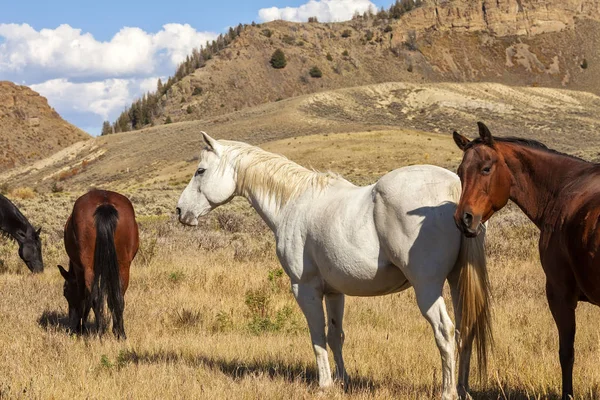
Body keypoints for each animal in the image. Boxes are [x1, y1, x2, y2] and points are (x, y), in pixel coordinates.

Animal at [57, 189, 139, 340]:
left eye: (65, 291)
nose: (71, 325)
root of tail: (105, 204)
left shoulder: (79, 269)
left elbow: (84, 297)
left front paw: (81, 328)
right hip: (123, 266)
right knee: (118, 298)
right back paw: (120, 333)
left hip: (89, 268)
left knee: (95, 298)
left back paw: (99, 333)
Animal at [176, 132, 490, 400]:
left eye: (200, 171)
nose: (180, 211)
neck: (293, 201)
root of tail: (455, 189)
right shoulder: (335, 292)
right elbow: (336, 336)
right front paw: (343, 380)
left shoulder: (304, 289)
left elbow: (317, 335)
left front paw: (325, 384)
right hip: (457, 282)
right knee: (465, 330)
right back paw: (463, 389)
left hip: (427, 288)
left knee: (445, 331)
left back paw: (448, 392)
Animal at [454, 122, 600, 400]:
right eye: (460, 173)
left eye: (486, 168)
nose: (464, 219)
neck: (565, 187)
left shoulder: (559, 295)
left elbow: (566, 354)